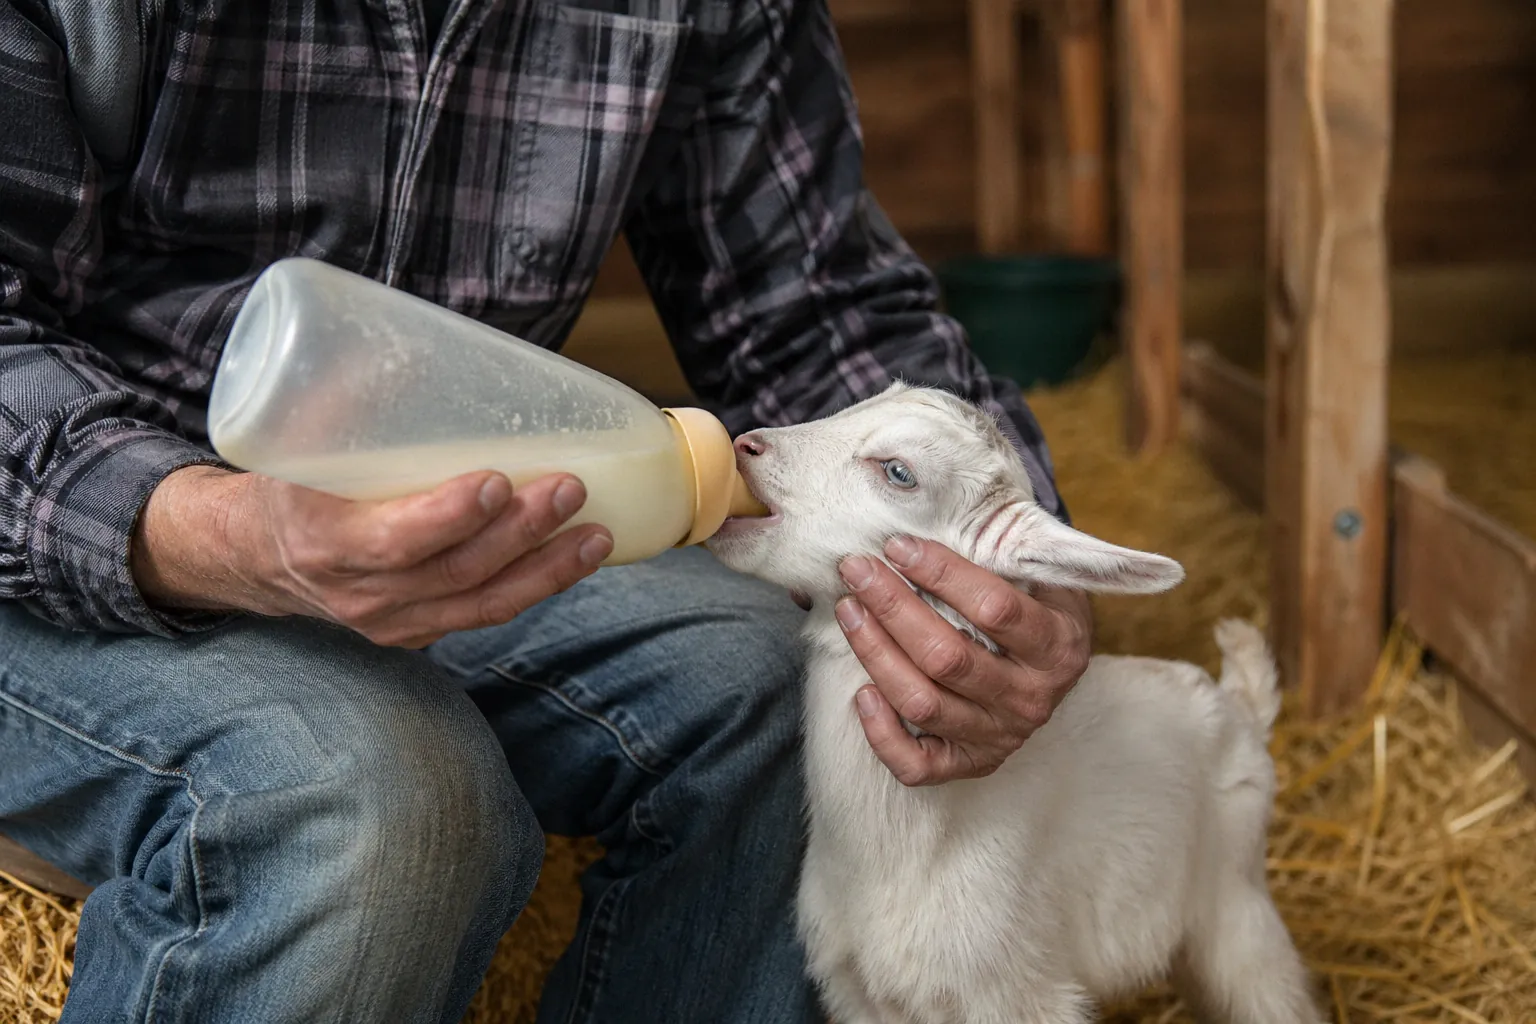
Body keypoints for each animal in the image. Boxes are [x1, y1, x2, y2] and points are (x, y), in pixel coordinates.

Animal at [706, 383, 1320, 1024]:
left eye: (900, 472)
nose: (745, 444)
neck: (894, 858)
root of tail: (1241, 704)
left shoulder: (1018, 995)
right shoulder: (857, 994)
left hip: (1238, 899)